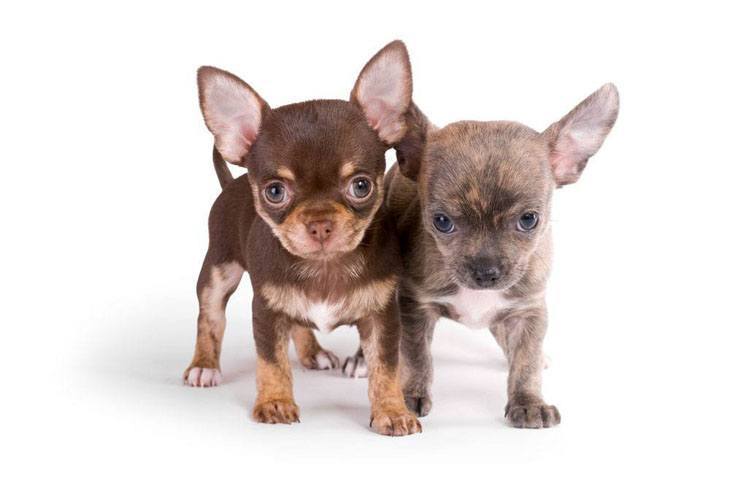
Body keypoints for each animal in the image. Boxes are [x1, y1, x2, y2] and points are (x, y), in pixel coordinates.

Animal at [183, 41, 420, 436]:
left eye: (361, 186)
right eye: (275, 191)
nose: (319, 223)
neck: (324, 267)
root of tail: (230, 184)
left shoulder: (382, 317)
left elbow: (386, 369)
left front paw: (392, 410)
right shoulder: (266, 311)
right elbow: (272, 362)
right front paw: (275, 403)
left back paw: (314, 352)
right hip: (218, 271)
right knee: (210, 317)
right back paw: (204, 364)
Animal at [344, 82, 616, 428]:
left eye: (529, 220)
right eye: (442, 222)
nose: (486, 272)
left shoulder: (528, 310)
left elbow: (525, 362)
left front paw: (529, 401)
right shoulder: (415, 307)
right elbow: (417, 355)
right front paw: (412, 395)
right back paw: (361, 360)